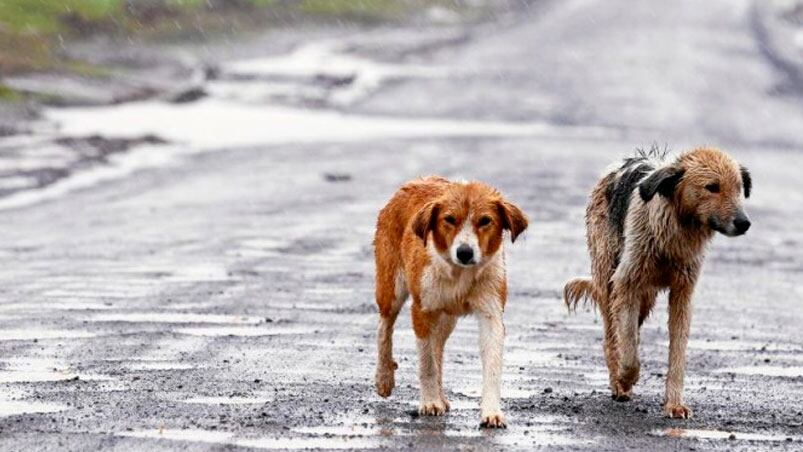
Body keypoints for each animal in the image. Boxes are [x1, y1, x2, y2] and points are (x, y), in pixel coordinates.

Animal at [376, 176, 528, 428]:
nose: (464, 252)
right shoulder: (422, 310)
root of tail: (415, 181)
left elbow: (491, 365)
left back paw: (441, 396)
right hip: (391, 290)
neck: (459, 274)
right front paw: (429, 402)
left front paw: (492, 412)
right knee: (384, 328)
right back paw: (384, 378)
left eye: (485, 221)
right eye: (449, 219)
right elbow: (426, 363)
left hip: (447, 318)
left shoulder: (491, 313)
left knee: (438, 346)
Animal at [564, 147, 752, 418]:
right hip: (609, 279)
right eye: (712, 187)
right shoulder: (625, 283)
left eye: (739, 188)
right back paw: (618, 384)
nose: (744, 223)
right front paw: (625, 377)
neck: (675, 232)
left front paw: (674, 404)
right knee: (612, 336)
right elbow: (628, 351)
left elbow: (677, 352)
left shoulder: (683, 293)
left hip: (646, 297)